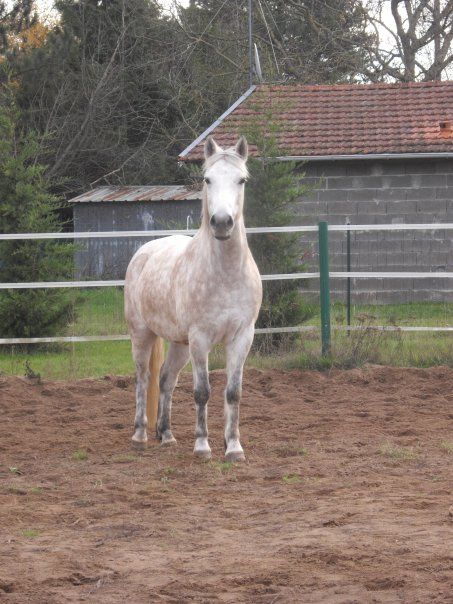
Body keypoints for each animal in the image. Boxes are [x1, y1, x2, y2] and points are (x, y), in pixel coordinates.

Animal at [124, 135, 262, 462]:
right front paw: (203, 446)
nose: (222, 222)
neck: (225, 275)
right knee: (143, 379)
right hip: (142, 334)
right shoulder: (201, 338)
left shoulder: (242, 337)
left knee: (166, 379)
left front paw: (233, 447)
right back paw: (140, 435)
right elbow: (202, 392)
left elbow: (233, 392)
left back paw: (167, 435)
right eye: (207, 179)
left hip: (179, 343)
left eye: (242, 180)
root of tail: (143, 252)